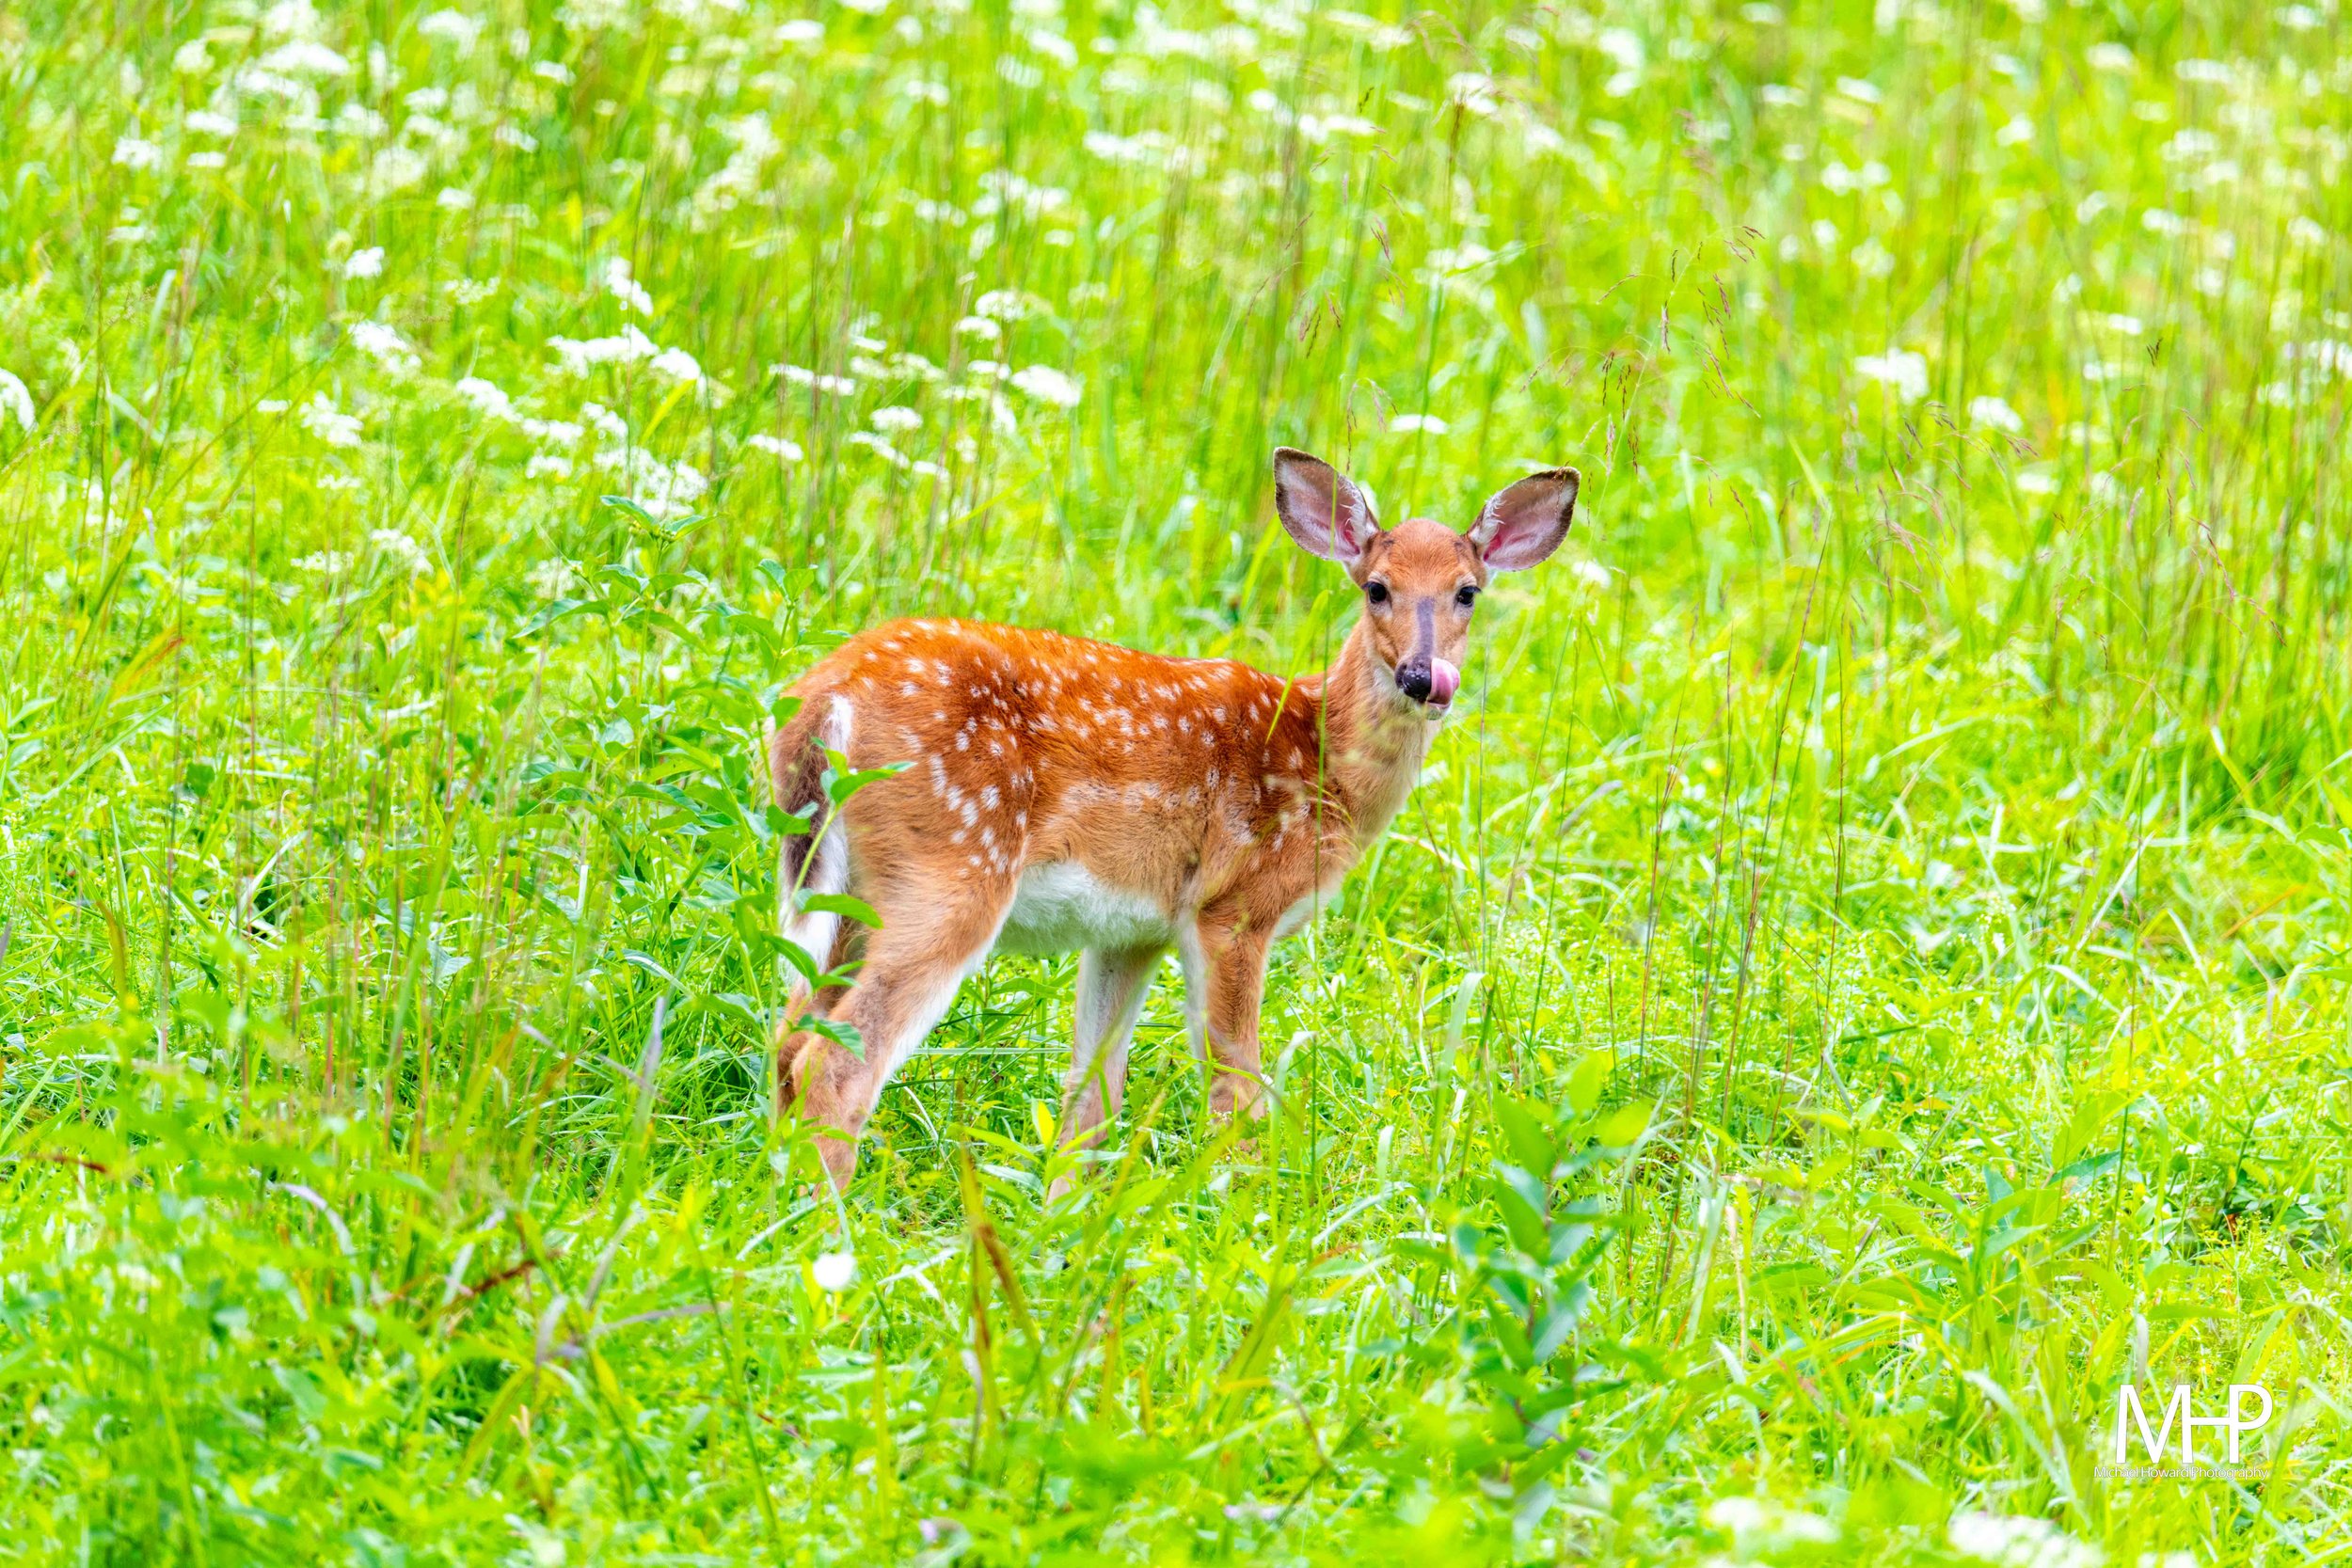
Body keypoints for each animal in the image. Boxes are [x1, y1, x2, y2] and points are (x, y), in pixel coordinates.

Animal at [766, 447, 1580, 1189]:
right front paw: (1241, 1204)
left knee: (788, 1037)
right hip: (954, 863)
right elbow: (1237, 1089)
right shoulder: (1234, 907)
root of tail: (823, 699)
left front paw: (1064, 1220)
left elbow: (1090, 1102)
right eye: (1377, 588)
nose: (1422, 677)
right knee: (835, 1061)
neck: (1323, 760)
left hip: (851, 892)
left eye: (1468, 592)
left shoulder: (1132, 929)